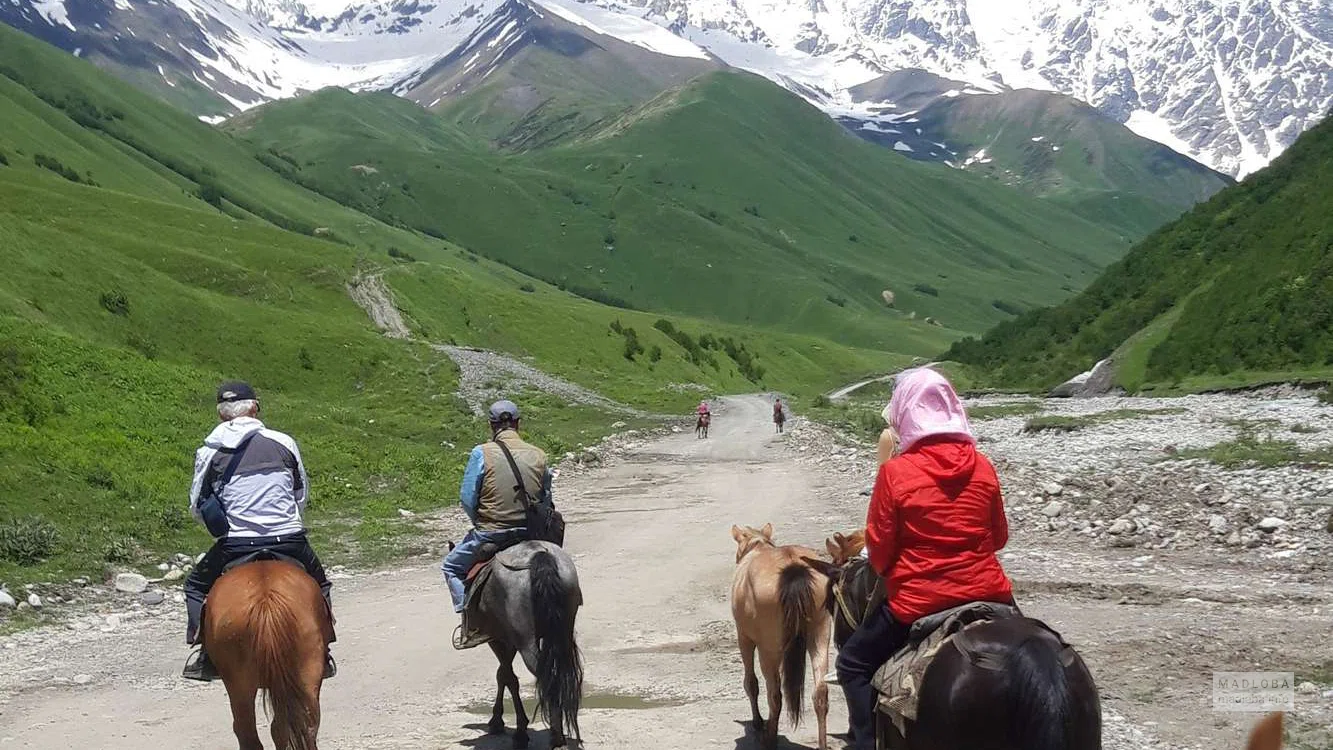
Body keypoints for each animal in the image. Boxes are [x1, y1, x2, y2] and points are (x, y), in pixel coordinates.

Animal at [469, 543, 583, 746]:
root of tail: (539, 553)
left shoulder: (498, 639)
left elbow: (506, 676)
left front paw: (509, 726)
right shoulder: (511, 641)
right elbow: (504, 674)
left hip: (526, 640)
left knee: (545, 675)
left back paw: (555, 736)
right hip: (563, 633)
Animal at [730, 524, 831, 746]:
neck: (758, 546)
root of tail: (793, 567)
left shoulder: (744, 638)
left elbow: (751, 682)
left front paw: (757, 722)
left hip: (769, 650)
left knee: (774, 694)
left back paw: (769, 738)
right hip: (820, 635)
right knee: (820, 693)